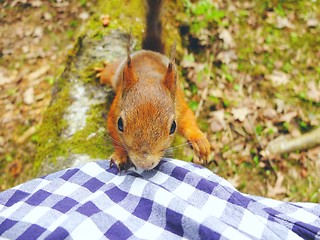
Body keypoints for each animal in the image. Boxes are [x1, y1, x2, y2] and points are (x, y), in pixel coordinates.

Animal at [97, 0, 210, 171]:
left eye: (173, 127)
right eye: (120, 124)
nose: (144, 163)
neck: (149, 78)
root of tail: (149, 51)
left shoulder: (179, 104)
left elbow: (188, 119)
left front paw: (200, 141)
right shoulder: (114, 112)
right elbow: (114, 134)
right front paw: (120, 155)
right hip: (114, 74)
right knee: (108, 73)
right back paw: (101, 70)